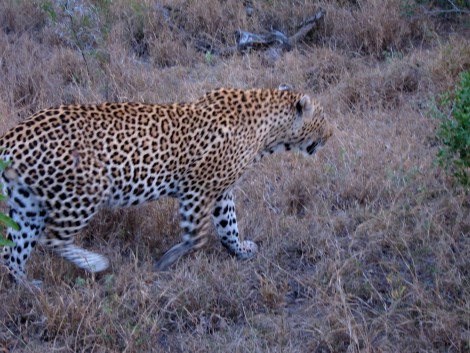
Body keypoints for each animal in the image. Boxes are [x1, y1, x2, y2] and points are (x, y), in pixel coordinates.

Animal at [0, 86, 332, 286]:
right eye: (323, 119)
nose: (332, 133)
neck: (269, 132)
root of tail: (13, 136)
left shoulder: (220, 192)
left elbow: (229, 225)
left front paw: (240, 251)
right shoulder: (198, 190)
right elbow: (197, 235)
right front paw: (168, 259)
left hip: (27, 205)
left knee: (11, 251)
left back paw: (29, 286)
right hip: (84, 192)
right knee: (52, 238)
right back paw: (93, 263)